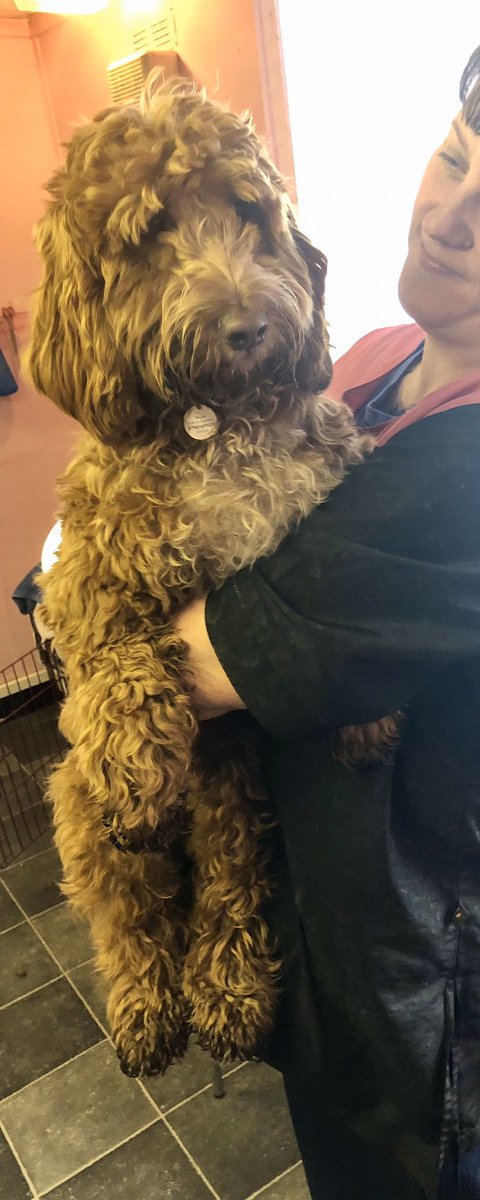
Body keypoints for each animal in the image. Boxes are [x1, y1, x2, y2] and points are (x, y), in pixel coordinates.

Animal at [27, 76, 389, 1078]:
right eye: (151, 232)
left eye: (248, 212)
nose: (249, 326)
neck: (215, 422)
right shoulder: (88, 574)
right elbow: (116, 660)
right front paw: (134, 756)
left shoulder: (317, 501)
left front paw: (370, 713)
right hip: (81, 818)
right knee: (133, 917)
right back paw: (149, 1004)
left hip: (231, 783)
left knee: (225, 884)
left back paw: (226, 989)